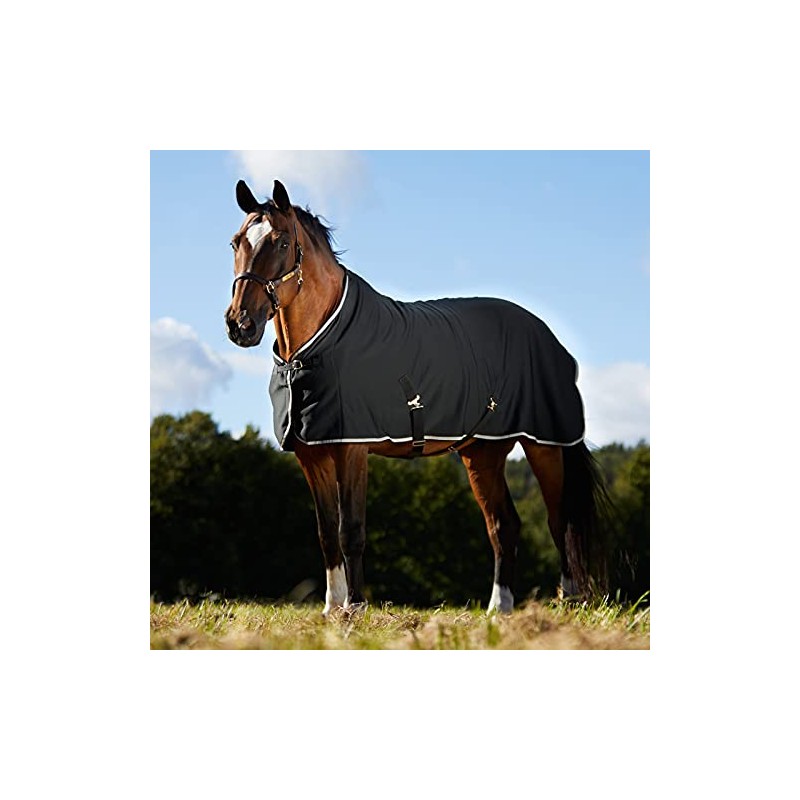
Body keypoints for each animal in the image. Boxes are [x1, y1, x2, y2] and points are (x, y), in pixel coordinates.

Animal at [224, 179, 609, 615]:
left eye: (283, 242)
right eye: (236, 242)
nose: (240, 324)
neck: (318, 347)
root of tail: (545, 333)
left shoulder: (352, 448)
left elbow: (351, 530)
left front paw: (354, 608)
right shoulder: (312, 455)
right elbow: (326, 533)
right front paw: (331, 607)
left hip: (544, 445)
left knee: (560, 518)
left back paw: (570, 598)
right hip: (484, 452)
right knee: (503, 525)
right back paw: (500, 607)